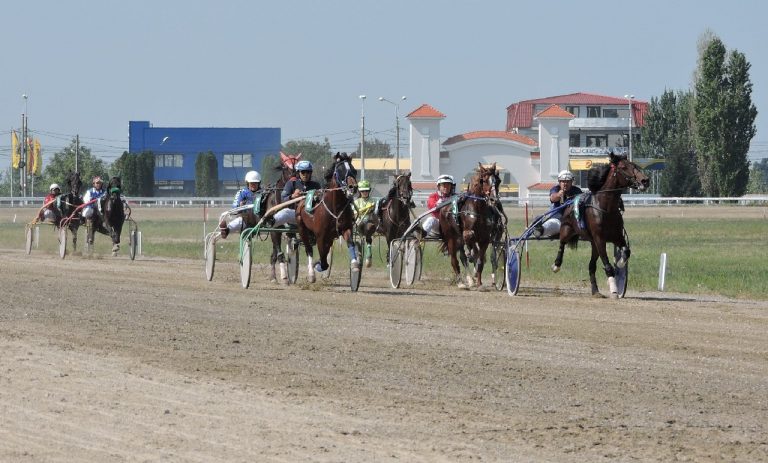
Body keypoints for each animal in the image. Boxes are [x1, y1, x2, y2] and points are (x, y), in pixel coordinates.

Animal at [295, 152, 358, 283]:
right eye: (340, 171)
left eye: (354, 171)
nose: (353, 187)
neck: (335, 208)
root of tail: (302, 200)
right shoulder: (321, 236)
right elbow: (323, 261)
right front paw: (317, 266)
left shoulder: (345, 228)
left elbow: (350, 243)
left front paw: (354, 265)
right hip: (302, 229)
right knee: (309, 249)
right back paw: (311, 274)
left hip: (329, 236)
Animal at [552, 152, 650, 298]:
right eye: (623, 167)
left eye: (634, 165)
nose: (645, 180)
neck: (606, 208)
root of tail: (569, 201)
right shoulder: (600, 239)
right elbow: (608, 265)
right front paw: (614, 290)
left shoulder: (617, 236)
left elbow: (626, 251)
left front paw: (620, 263)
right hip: (567, 229)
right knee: (562, 243)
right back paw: (556, 265)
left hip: (593, 244)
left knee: (591, 265)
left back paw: (595, 291)